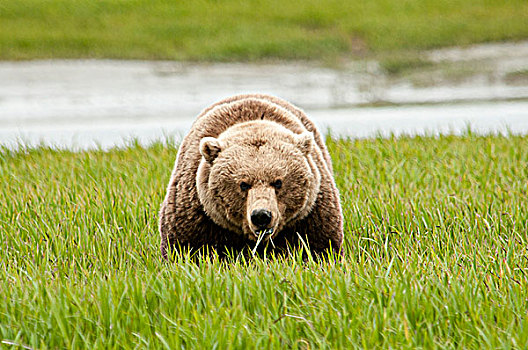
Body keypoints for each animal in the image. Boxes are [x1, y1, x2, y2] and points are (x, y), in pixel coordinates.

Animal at [159, 94, 344, 258]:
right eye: (243, 184)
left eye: (278, 182)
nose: (261, 215)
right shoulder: (198, 216)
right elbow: (185, 248)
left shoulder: (310, 215)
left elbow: (319, 246)